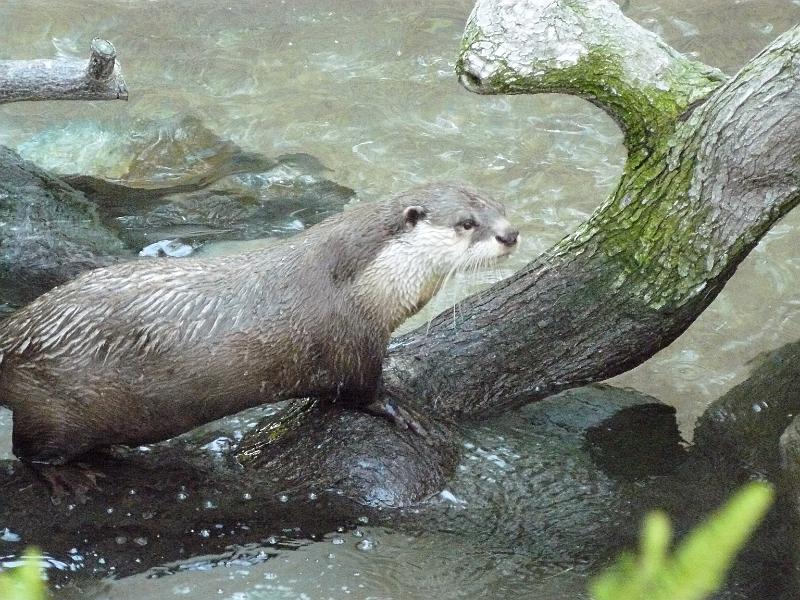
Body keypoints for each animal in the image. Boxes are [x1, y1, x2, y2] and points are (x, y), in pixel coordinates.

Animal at [0, 183, 518, 489]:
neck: (365, 283)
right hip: (51, 404)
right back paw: (66, 478)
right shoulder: (352, 340)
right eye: (466, 223)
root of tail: (15, 332)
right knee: (27, 448)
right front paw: (401, 409)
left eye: (500, 208)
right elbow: (363, 391)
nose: (511, 234)